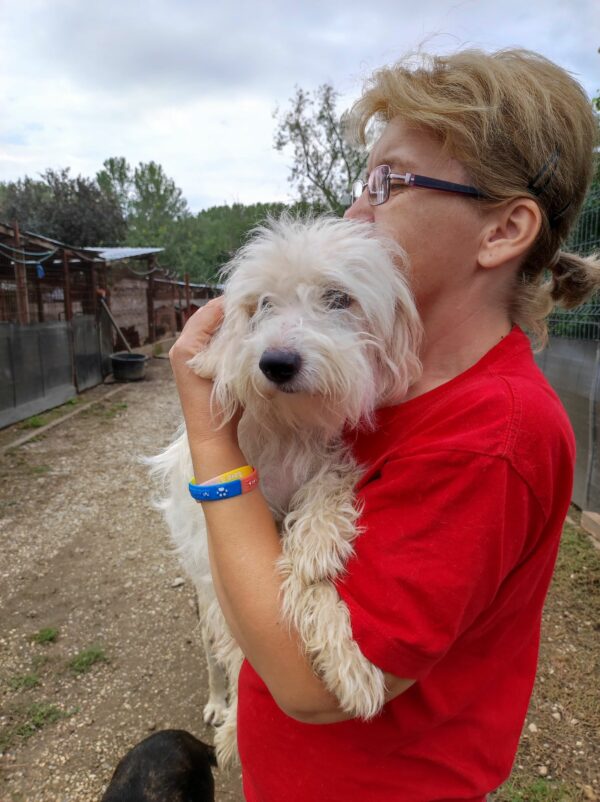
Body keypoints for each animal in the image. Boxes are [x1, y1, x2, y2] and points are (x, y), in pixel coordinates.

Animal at [149, 214, 422, 764]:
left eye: (338, 298)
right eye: (262, 304)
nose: (276, 362)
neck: (284, 428)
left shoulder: (323, 465)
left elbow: (311, 551)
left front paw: (318, 552)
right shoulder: (218, 572)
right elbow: (240, 650)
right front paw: (236, 726)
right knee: (215, 657)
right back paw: (220, 708)